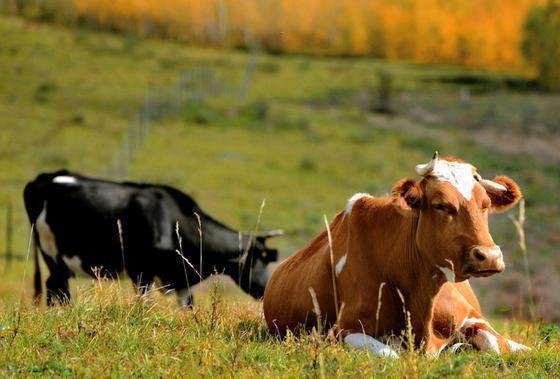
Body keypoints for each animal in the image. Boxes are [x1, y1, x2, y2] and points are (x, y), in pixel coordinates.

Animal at [24, 171, 282, 308]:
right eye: (261, 259)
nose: (266, 289)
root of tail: (42, 178)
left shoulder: (181, 280)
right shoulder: (141, 271)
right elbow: (145, 303)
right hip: (52, 253)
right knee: (57, 288)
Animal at [264, 153, 528, 358]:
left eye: (485, 204)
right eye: (440, 205)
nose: (490, 256)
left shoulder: (471, 315)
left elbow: (498, 345)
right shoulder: (343, 329)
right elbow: (390, 354)